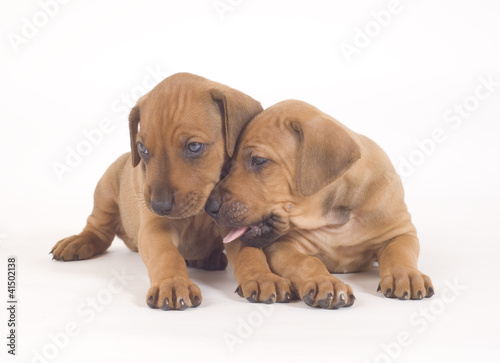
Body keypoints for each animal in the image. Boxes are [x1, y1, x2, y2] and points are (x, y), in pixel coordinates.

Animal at [50, 72, 262, 312]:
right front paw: (173, 283)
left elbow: (250, 252)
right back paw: (79, 241)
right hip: (105, 189)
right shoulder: (156, 229)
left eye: (194, 147)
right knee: (98, 230)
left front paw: (262, 276)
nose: (158, 206)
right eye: (142, 149)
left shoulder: (235, 223)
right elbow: (166, 254)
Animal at [206, 99, 434, 310]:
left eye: (259, 160)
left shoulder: (400, 231)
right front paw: (325, 282)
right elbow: (307, 261)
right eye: (228, 166)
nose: (210, 207)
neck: (336, 218)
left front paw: (406, 274)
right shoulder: (283, 244)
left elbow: (399, 252)